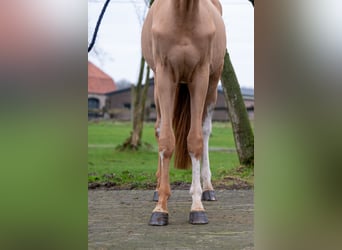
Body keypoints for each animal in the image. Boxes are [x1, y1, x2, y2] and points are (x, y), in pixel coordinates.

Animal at [140, 0, 226, 226]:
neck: (183, 13)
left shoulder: (200, 77)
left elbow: (195, 141)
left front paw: (197, 207)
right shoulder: (164, 76)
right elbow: (166, 140)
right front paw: (160, 208)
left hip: (211, 84)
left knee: (204, 131)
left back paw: (207, 189)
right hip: (162, 89)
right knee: (160, 128)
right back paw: (157, 189)